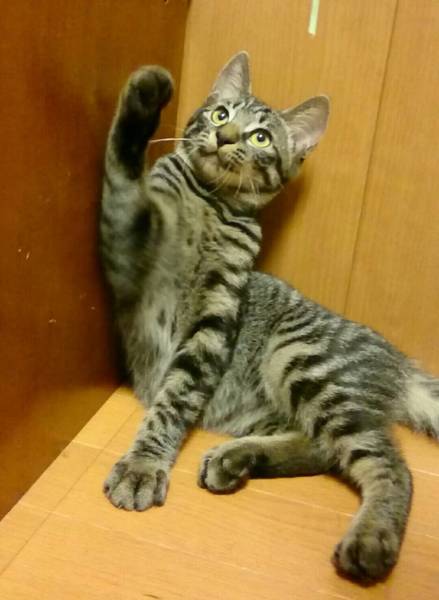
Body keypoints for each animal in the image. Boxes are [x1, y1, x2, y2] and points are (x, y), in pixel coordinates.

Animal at [100, 51, 439, 582]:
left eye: (260, 137)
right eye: (221, 113)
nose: (226, 136)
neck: (210, 200)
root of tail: (400, 364)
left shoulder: (214, 319)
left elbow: (176, 398)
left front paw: (143, 466)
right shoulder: (131, 242)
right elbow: (123, 173)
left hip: (302, 359)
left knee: (389, 464)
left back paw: (371, 540)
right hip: (274, 398)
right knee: (325, 448)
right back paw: (239, 459)